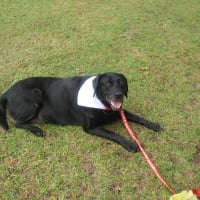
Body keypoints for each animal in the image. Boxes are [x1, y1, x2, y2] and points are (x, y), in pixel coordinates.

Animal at [0, 72, 162, 152]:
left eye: (121, 83)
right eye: (108, 84)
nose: (118, 95)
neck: (101, 103)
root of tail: (7, 92)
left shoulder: (118, 111)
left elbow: (136, 116)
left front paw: (153, 125)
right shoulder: (90, 127)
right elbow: (113, 133)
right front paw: (129, 143)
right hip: (35, 95)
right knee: (17, 123)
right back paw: (37, 130)